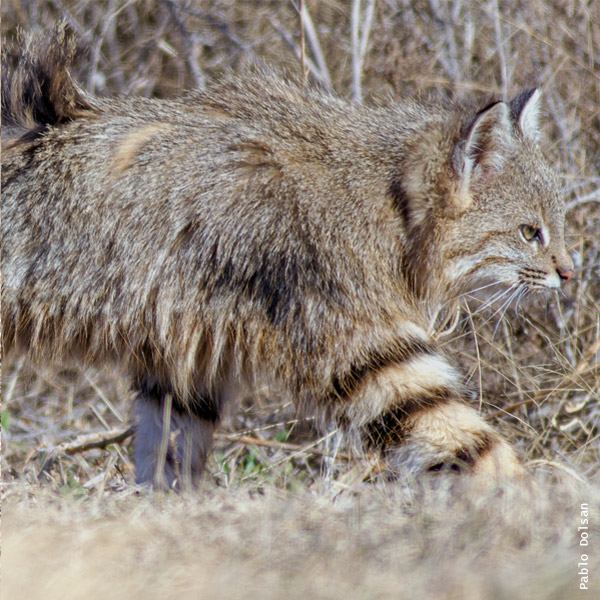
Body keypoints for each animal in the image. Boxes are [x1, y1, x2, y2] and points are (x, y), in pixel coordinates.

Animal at [1, 25, 572, 490]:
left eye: (555, 224)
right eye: (530, 232)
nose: (570, 272)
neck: (388, 203)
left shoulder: (184, 361)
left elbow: (167, 456)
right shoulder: (364, 346)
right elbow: (474, 446)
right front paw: (532, 513)